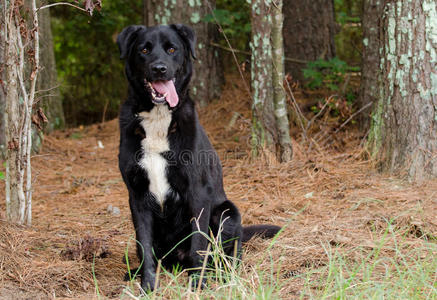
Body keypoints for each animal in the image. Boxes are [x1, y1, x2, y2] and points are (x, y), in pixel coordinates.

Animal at [116, 24, 280, 292]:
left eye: (172, 49)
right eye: (144, 50)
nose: (159, 68)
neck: (158, 119)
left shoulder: (197, 191)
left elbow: (198, 245)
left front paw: (198, 284)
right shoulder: (137, 196)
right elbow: (145, 246)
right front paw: (148, 286)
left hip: (226, 213)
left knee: (227, 256)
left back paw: (220, 275)